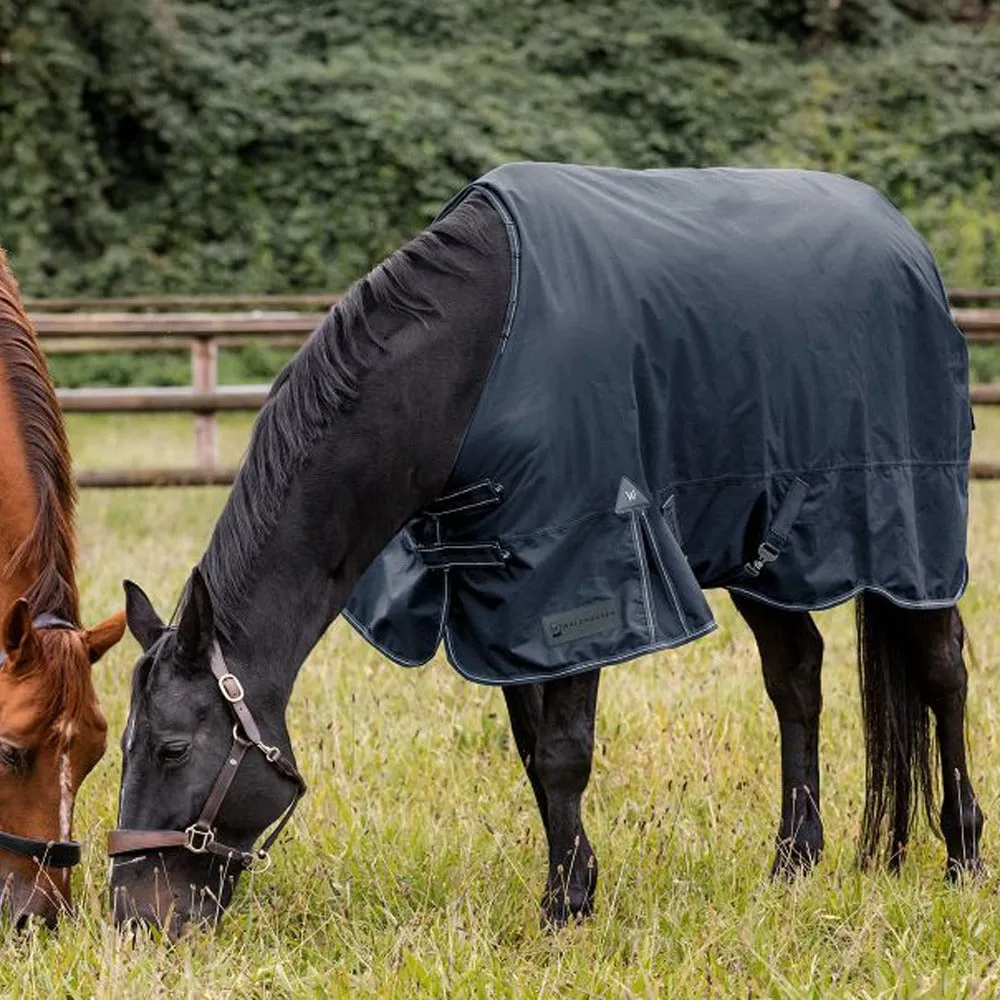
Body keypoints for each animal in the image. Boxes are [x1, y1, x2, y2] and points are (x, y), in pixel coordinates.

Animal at [108, 164, 982, 937]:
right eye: (122, 745)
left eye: (173, 748)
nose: (133, 920)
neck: (469, 359)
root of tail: (907, 243)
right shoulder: (503, 593)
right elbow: (535, 756)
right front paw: (577, 887)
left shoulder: (582, 572)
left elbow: (564, 753)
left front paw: (563, 913)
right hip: (766, 553)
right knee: (795, 680)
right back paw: (793, 864)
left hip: (912, 533)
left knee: (943, 672)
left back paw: (963, 856)